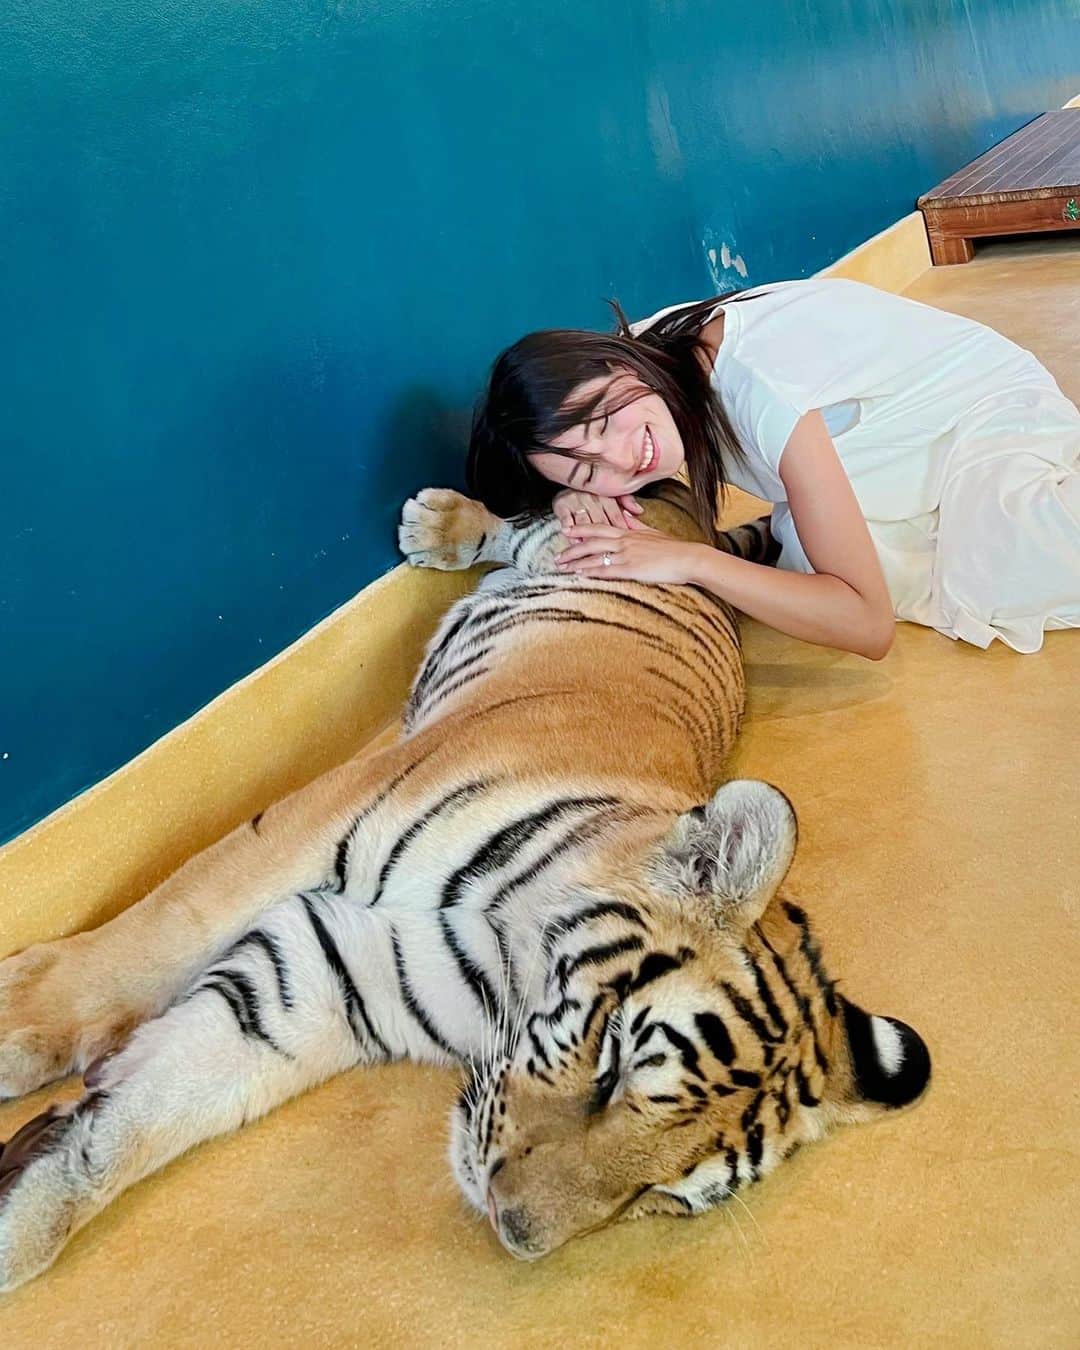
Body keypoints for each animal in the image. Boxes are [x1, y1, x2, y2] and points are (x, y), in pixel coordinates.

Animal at [0, 486, 929, 1290]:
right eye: (615, 1068)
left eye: (660, 1196)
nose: (509, 1226)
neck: (500, 963)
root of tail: (697, 535)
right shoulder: (322, 822)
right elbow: (164, 929)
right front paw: (19, 1023)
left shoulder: (326, 981)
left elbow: (151, 1107)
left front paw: (22, 1216)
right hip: (573, 546)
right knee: (527, 528)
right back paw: (441, 521)